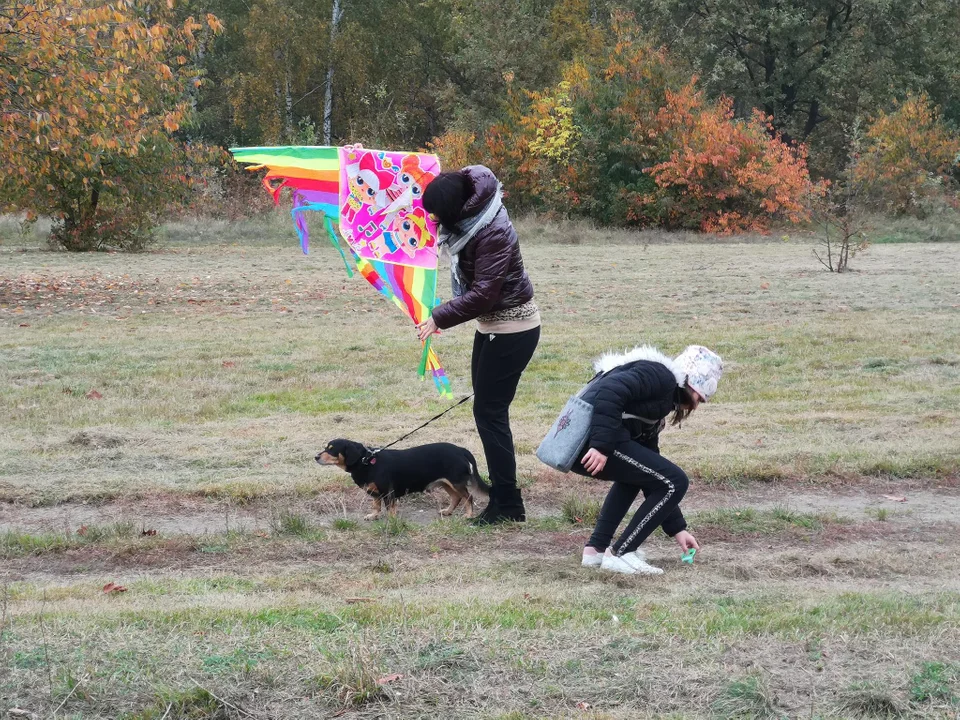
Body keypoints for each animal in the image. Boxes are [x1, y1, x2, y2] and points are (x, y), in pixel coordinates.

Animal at [318, 438, 492, 516]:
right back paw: (448, 511)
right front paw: (373, 516)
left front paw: (391, 521)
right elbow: (376, 505)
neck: (366, 461)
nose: (315, 457)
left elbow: (390, 509)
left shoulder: (388, 492)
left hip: (456, 482)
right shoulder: (376, 493)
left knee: (468, 498)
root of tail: (460, 449)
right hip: (446, 483)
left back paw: (468, 515)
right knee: (456, 498)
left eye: (331, 449)